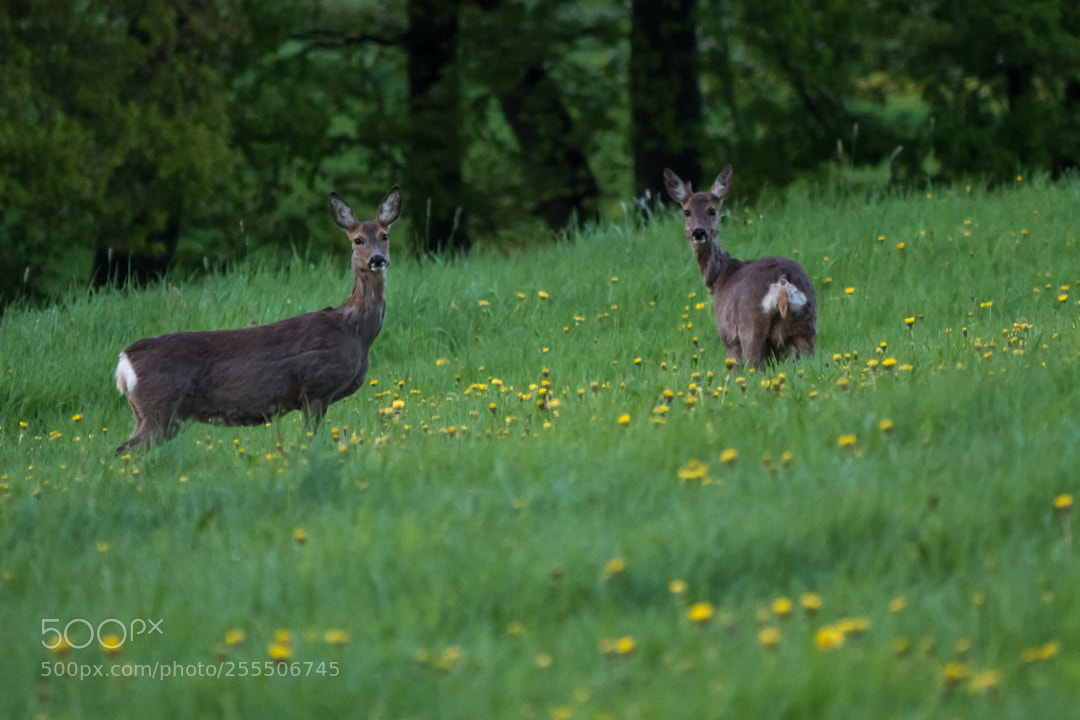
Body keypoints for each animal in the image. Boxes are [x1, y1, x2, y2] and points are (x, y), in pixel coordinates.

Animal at [113, 186, 402, 454]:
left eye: (384, 235)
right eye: (358, 239)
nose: (378, 259)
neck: (355, 330)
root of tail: (124, 364)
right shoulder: (316, 387)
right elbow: (310, 440)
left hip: (144, 413)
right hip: (163, 410)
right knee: (124, 450)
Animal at [663, 165, 816, 370]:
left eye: (712, 210)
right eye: (687, 211)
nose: (698, 232)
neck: (720, 277)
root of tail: (783, 288)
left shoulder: (728, 336)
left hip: (751, 329)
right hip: (806, 328)